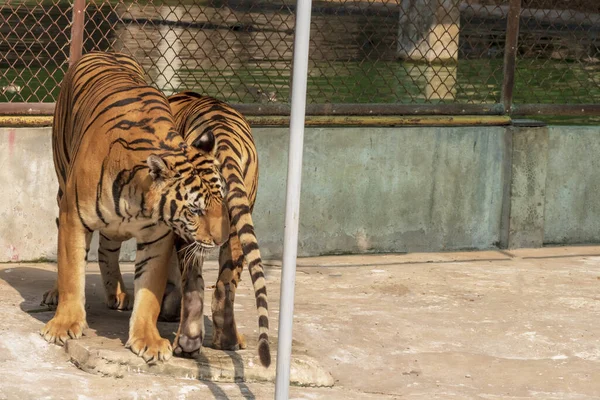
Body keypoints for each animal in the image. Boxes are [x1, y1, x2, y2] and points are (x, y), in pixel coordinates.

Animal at [38, 51, 230, 364]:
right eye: (195, 210)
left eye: (221, 201)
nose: (221, 239)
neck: (138, 201)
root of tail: (102, 51)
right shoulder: (73, 219)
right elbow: (71, 273)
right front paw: (63, 326)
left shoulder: (158, 237)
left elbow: (149, 293)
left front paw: (148, 340)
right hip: (62, 180)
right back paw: (55, 294)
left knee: (108, 249)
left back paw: (118, 293)